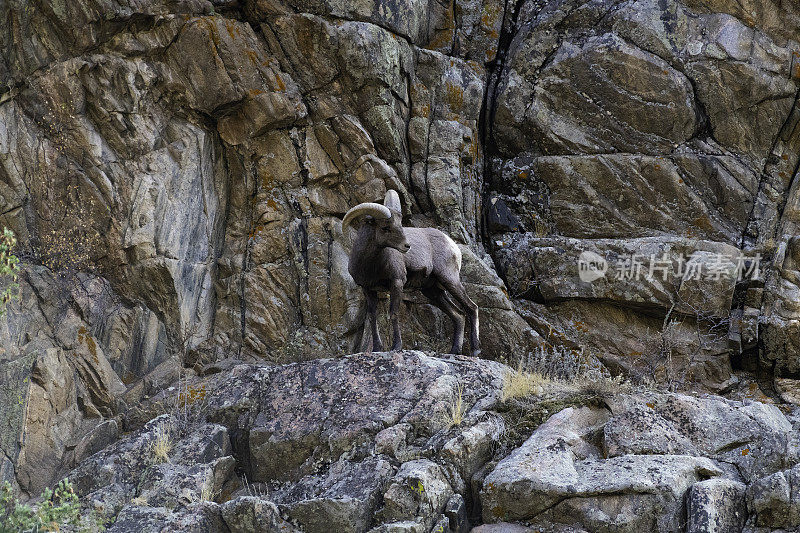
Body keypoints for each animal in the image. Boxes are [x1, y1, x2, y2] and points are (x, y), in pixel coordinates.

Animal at [342, 189, 482, 356]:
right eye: (385, 228)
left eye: (400, 224)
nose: (406, 246)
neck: (370, 265)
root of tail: (453, 246)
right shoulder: (368, 289)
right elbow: (372, 318)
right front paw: (376, 349)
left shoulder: (397, 282)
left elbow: (394, 313)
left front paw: (396, 346)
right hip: (433, 291)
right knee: (458, 315)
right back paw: (454, 351)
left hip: (450, 280)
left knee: (472, 307)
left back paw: (475, 350)